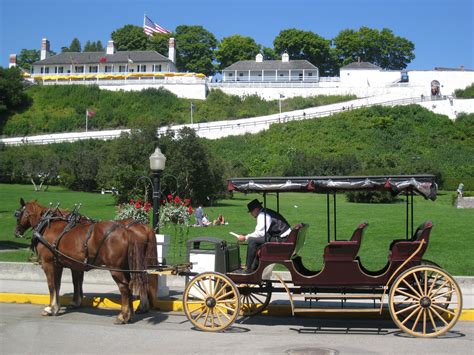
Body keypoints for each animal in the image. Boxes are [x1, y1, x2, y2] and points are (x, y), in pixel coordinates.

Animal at [12, 199, 156, 324]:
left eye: (18, 214)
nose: (16, 232)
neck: (48, 225)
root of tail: (128, 231)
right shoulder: (67, 264)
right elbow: (68, 283)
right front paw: (70, 303)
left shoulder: (49, 264)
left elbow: (52, 285)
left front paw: (51, 308)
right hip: (127, 266)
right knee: (135, 283)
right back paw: (131, 314)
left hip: (116, 268)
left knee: (125, 288)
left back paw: (123, 316)